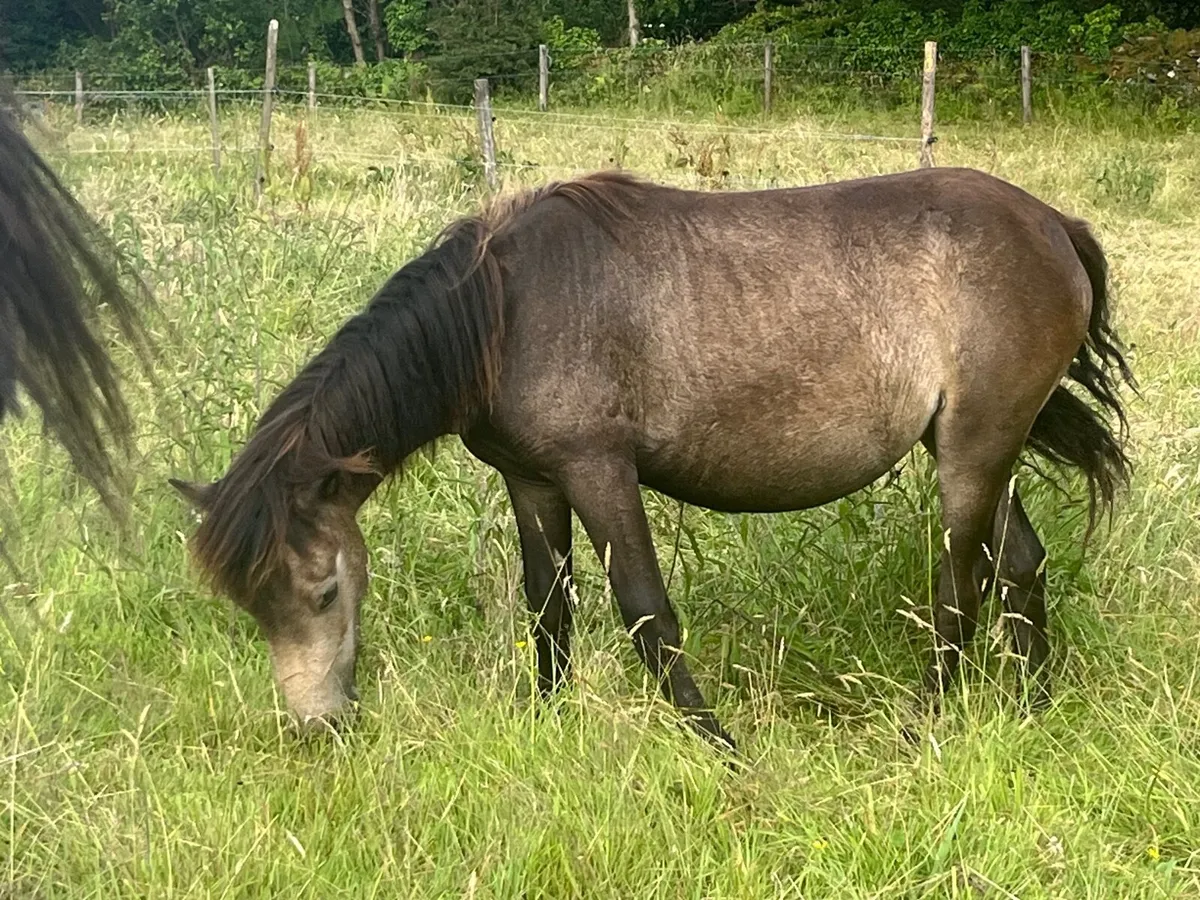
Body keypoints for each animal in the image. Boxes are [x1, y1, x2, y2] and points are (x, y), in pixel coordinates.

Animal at [171, 166, 1134, 749]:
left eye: (324, 592)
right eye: (251, 608)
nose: (319, 727)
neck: (507, 308)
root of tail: (1053, 223)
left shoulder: (599, 470)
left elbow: (644, 610)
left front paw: (720, 746)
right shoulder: (532, 479)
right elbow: (548, 608)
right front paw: (547, 724)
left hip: (973, 450)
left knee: (960, 586)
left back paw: (923, 727)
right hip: (979, 449)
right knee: (1020, 565)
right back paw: (1036, 709)